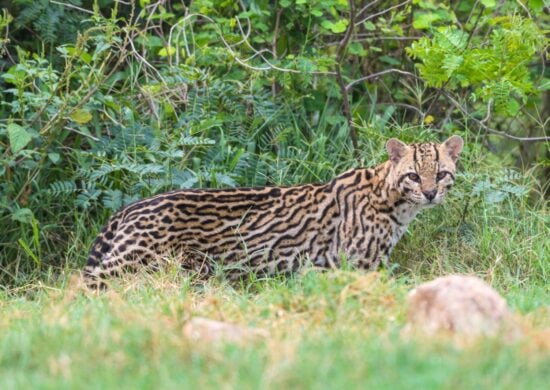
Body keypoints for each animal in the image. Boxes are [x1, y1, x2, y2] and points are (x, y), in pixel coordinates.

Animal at [85, 136, 466, 286]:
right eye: (414, 175)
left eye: (441, 174)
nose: (430, 193)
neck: (394, 201)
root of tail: (129, 208)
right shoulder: (358, 265)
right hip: (128, 265)